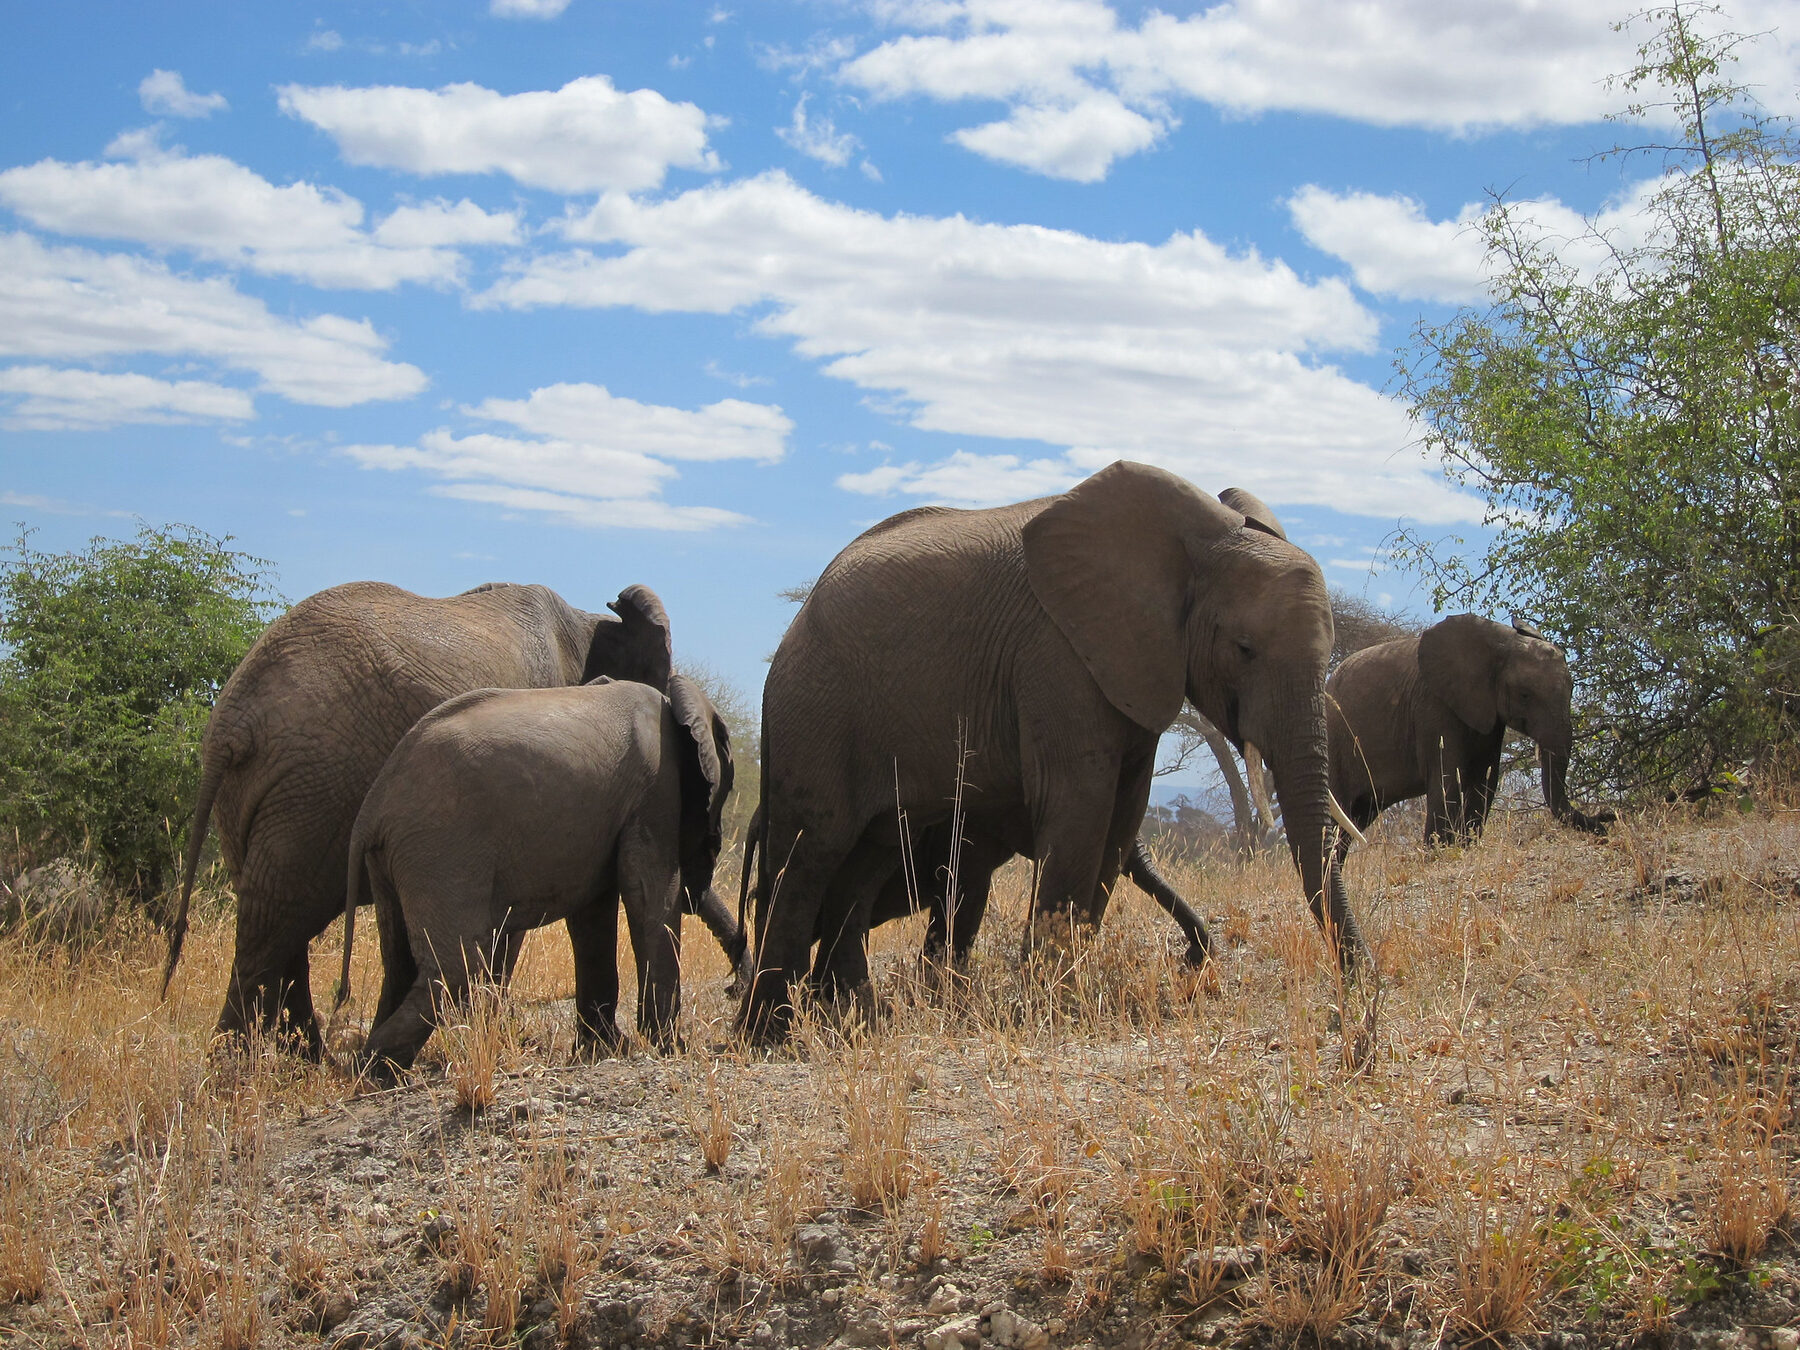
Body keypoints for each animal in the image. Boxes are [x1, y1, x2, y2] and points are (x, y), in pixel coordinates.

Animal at [340, 673, 732, 1078]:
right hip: (439, 848)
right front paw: (670, 1047)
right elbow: (650, 895)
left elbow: (593, 916)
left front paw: (606, 1048)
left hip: (394, 857)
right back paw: (376, 1071)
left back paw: (373, 1072)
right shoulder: (655, 788)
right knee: (457, 965)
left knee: (399, 962)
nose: (734, 989)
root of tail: (373, 807)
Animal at [738, 460, 1370, 1042]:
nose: (1351, 1017)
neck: (1191, 546)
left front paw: (1073, 990)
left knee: (866, 857)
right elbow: (1079, 803)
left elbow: (1120, 817)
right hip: (816, 711)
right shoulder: (1056, 653)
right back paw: (770, 1037)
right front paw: (1053, 1006)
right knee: (808, 856)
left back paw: (851, 1021)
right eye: (1243, 648)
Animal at [1324, 613, 1612, 912]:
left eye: (1572, 688)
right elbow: (1447, 778)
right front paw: (1438, 854)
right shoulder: (1434, 706)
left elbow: (1485, 781)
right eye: (1524, 695)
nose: (1607, 817)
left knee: (1353, 820)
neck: (1501, 641)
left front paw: (1466, 846)